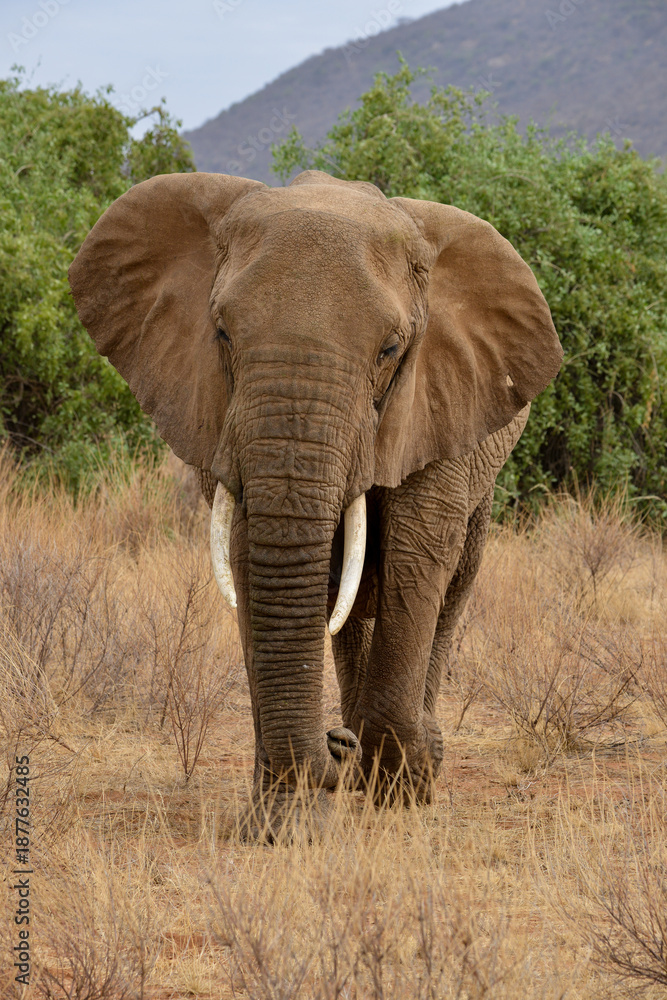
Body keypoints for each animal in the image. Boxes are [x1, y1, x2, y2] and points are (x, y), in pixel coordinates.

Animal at [68, 169, 562, 835]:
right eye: (221, 333)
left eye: (390, 351)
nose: (333, 744)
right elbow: (250, 558)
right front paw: (282, 828)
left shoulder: (435, 396)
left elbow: (417, 556)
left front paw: (402, 793)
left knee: (454, 579)